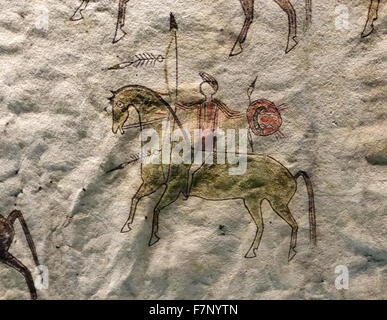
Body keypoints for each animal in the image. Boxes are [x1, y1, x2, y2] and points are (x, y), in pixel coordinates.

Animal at [108, 84, 316, 260]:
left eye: (120, 104)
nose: (116, 129)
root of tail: (291, 174)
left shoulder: (171, 189)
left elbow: (155, 208)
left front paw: (153, 238)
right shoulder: (151, 184)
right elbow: (135, 198)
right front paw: (127, 226)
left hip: (277, 203)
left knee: (293, 224)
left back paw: (290, 253)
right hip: (253, 201)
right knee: (262, 225)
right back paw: (252, 252)